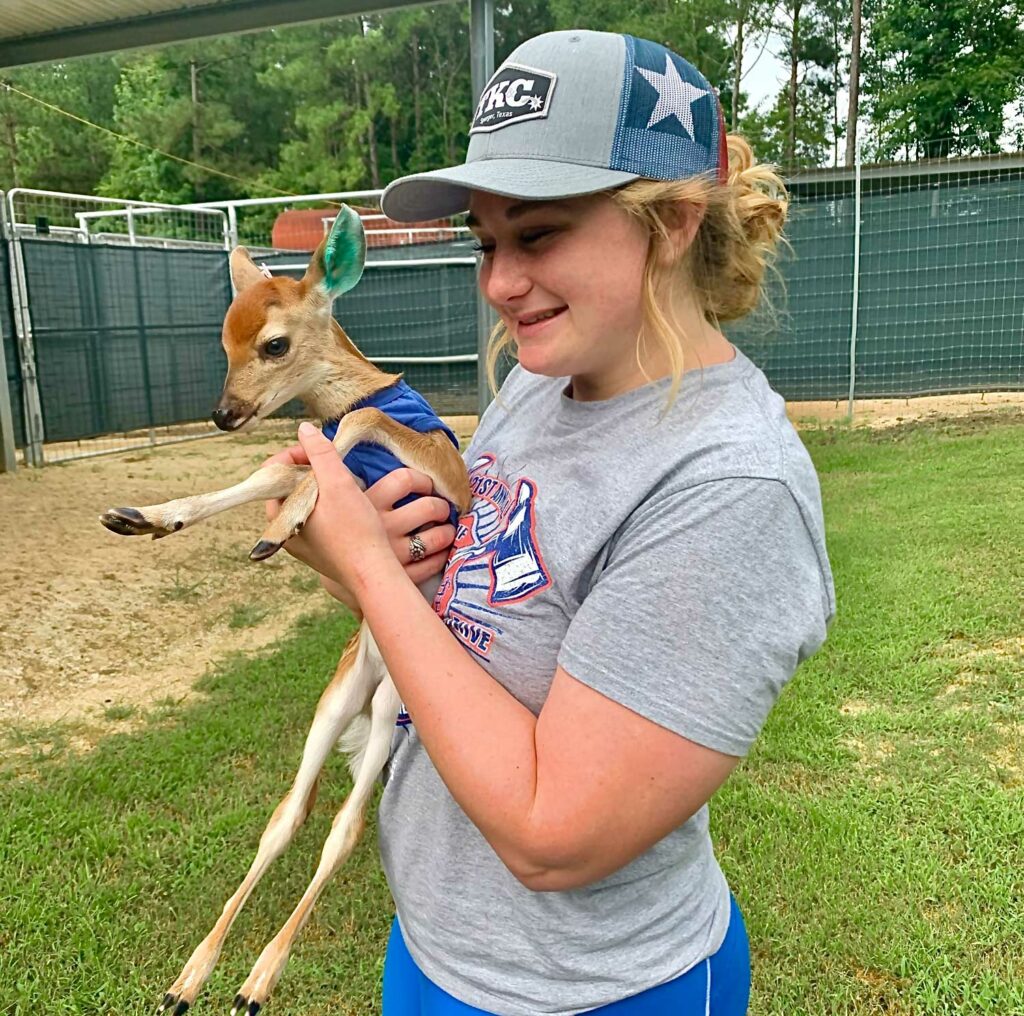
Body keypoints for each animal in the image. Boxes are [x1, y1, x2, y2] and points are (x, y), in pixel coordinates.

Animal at [98, 204, 471, 1007]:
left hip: (395, 713)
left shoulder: (447, 471)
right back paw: (192, 980)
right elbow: (260, 475)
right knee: (288, 815)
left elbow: (355, 432)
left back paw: (256, 981)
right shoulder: (300, 452)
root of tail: (374, 673)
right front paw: (144, 519)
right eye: (224, 341)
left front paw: (286, 522)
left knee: (348, 826)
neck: (357, 389)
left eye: (273, 343)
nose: (223, 412)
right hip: (334, 705)